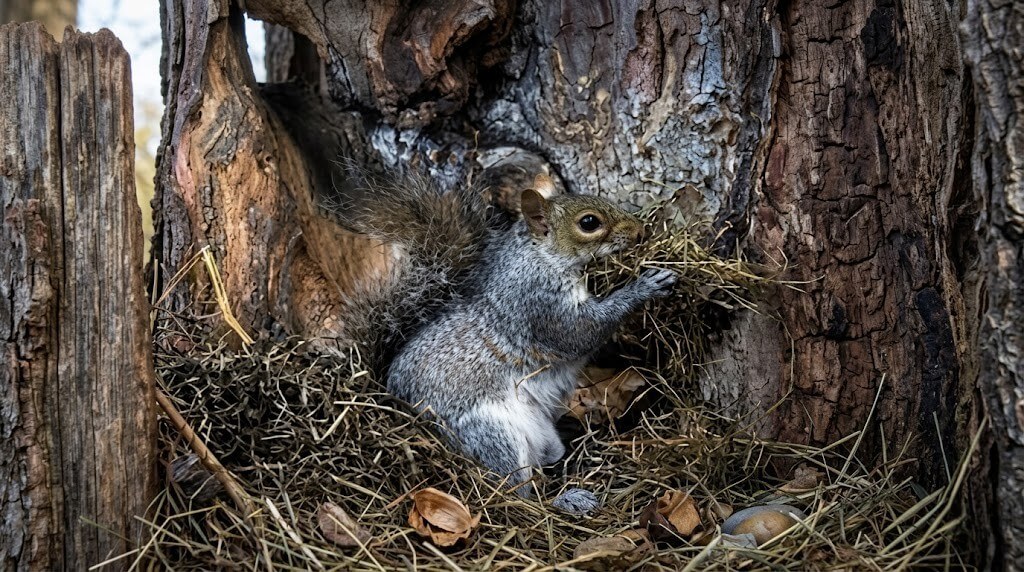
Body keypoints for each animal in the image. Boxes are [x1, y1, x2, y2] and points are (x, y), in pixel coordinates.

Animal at [331, 170, 677, 505]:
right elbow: (581, 333)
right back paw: (563, 501)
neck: (537, 256)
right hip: (492, 434)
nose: (640, 232)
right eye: (589, 222)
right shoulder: (539, 305)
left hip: (541, 434)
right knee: (516, 491)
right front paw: (643, 287)